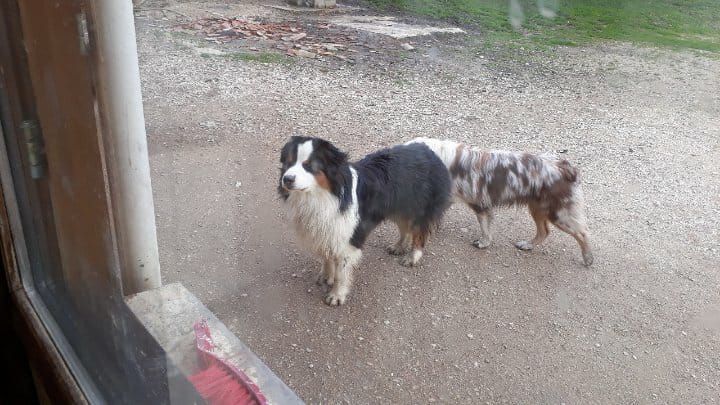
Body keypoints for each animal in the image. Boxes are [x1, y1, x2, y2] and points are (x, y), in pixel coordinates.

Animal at [279, 136, 451, 306]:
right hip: (398, 208)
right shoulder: (326, 231)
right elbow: (326, 257)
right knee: (405, 229)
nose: (287, 179)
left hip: (419, 209)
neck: (323, 196)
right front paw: (326, 276)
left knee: (419, 233)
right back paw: (399, 247)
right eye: (288, 163)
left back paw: (412, 257)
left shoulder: (348, 239)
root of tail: (428, 149)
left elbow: (342, 272)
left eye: (308, 165)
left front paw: (336, 295)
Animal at [408, 137, 593, 266]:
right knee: (544, 232)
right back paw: (527, 245)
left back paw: (587, 258)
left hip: (559, 214)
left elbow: (485, 229)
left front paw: (483, 243)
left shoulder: (480, 205)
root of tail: (565, 167)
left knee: (582, 233)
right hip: (538, 209)